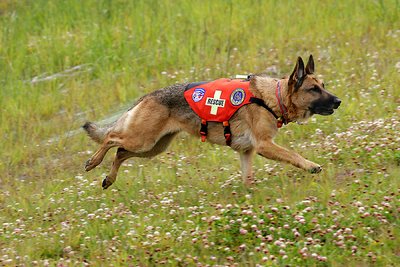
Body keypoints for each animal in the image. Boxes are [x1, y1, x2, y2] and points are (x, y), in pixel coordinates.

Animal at [83, 55, 340, 189]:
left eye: (323, 86)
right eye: (313, 89)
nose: (339, 101)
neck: (271, 98)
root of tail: (148, 96)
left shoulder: (247, 151)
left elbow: (248, 177)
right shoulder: (264, 145)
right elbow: (293, 155)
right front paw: (310, 165)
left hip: (153, 147)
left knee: (120, 153)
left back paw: (109, 179)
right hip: (142, 140)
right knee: (110, 139)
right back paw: (93, 162)